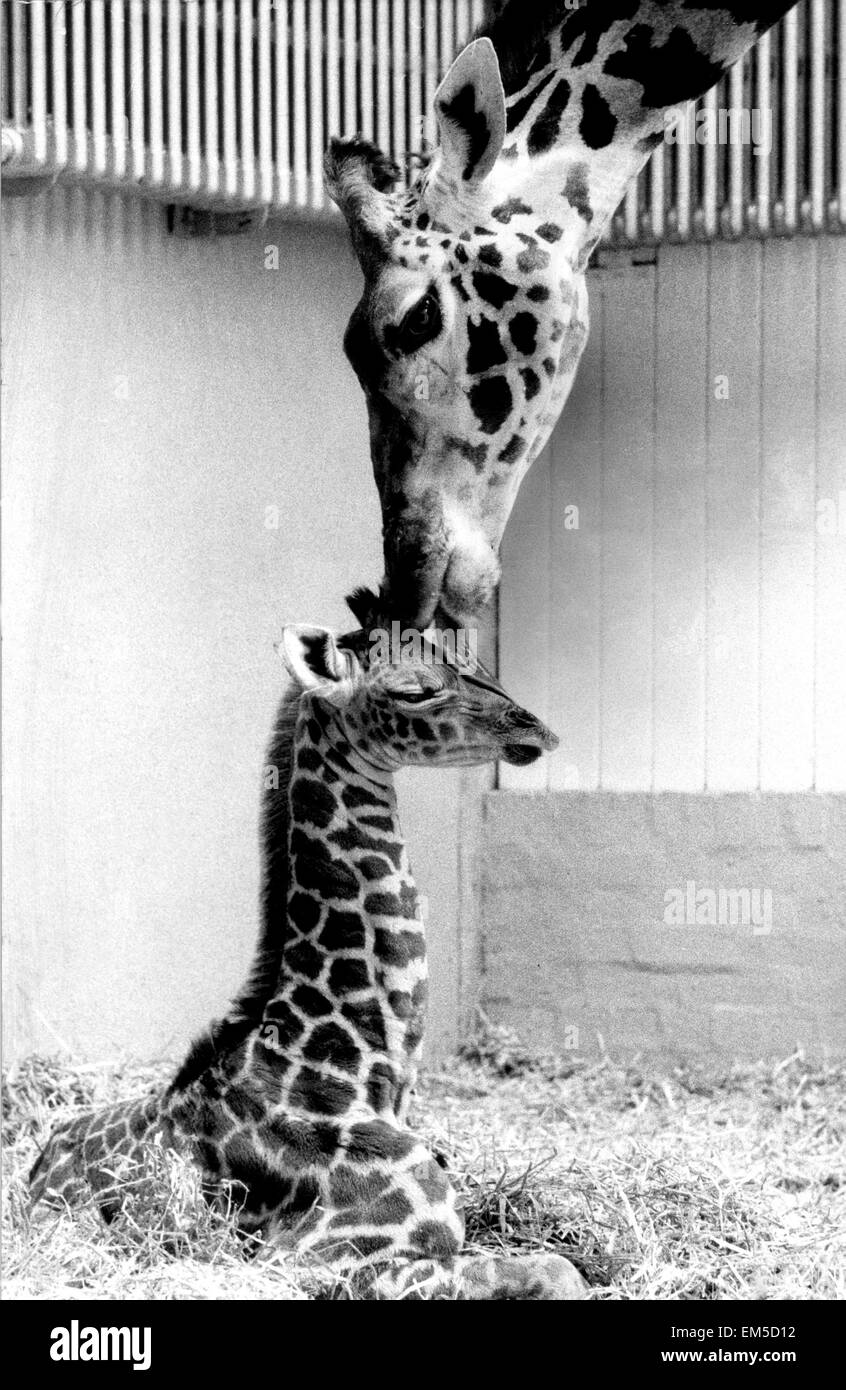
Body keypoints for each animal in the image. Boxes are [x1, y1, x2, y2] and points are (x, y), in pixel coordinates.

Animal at [34, 600, 586, 1301]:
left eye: (476, 663)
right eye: (414, 688)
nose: (538, 729)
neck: (358, 1069)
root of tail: (34, 1168)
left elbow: (560, 1265)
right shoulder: (313, 1260)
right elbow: (559, 1271)